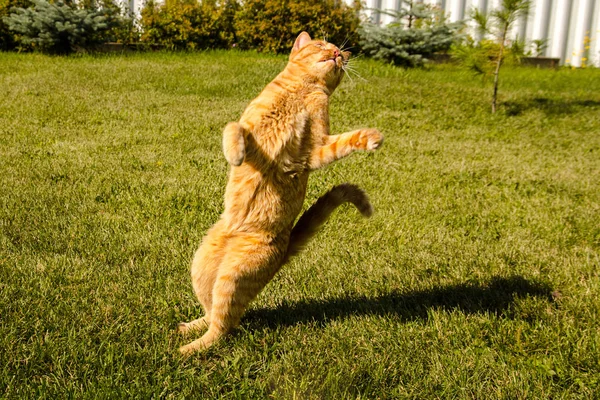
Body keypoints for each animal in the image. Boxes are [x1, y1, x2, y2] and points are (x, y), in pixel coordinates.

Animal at [179, 32, 384, 354]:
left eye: (339, 55)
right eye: (322, 46)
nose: (337, 54)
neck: (299, 92)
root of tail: (285, 247)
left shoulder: (314, 150)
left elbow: (345, 142)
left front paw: (370, 139)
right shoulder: (248, 125)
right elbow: (233, 129)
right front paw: (235, 155)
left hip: (232, 276)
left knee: (223, 325)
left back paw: (189, 347)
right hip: (201, 267)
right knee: (214, 316)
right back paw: (188, 332)